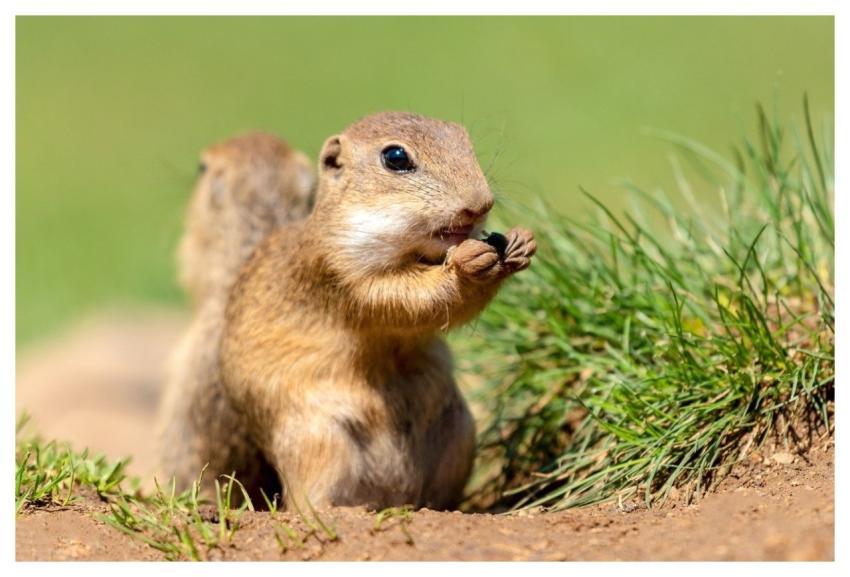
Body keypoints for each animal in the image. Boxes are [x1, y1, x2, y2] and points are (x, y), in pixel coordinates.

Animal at [219, 111, 536, 510]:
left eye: (464, 139)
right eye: (396, 157)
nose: (481, 204)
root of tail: (392, 498)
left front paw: (522, 242)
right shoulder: (341, 272)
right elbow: (404, 298)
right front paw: (467, 262)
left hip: (460, 434)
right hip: (320, 441)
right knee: (304, 503)